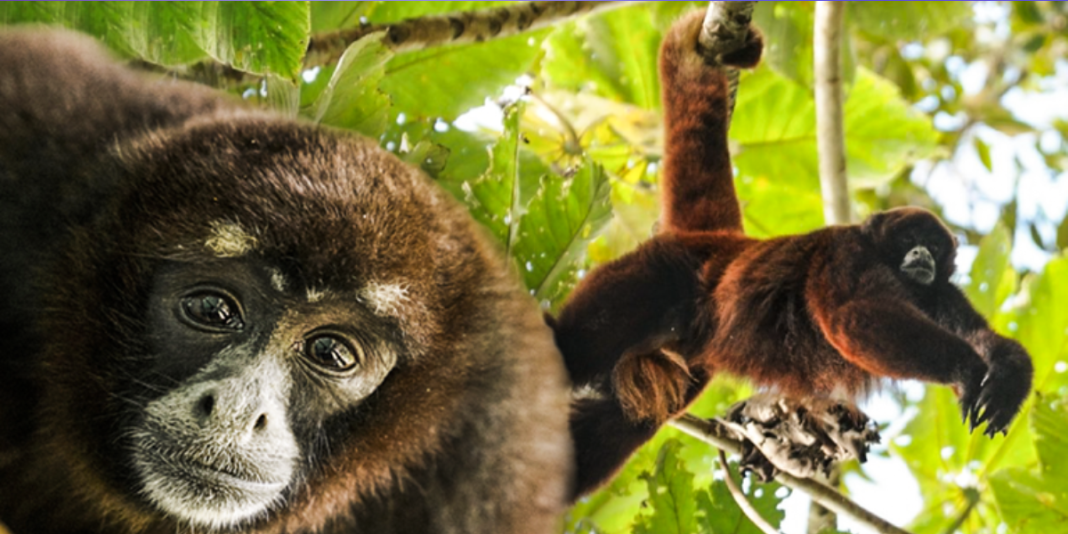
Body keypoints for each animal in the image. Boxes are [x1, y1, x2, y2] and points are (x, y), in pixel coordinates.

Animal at [552, 11, 1034, 498]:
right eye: (909, 238)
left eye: (934, 245)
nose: (922, 254)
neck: (884, 258)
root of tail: (715, 242)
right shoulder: (845, 255)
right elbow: (852, 317)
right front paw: (967, 368)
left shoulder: (938, 292)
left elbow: (979, 333)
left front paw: (1007, 378)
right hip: (657, 272)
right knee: (580, 345)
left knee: (618, 424)